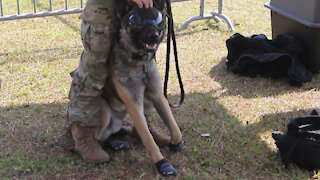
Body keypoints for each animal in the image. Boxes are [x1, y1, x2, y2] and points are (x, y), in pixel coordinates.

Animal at [95, 0, 182, 176]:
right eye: (137, 21)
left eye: (158, 21)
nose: (154, 36)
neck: (140, 63)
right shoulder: (135, 106)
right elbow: (148, 139)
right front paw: (162, 163)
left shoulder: (158, 96)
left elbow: (175, 127)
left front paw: (175, 142)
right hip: (104, 109)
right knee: (98, 137)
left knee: (108, 134)